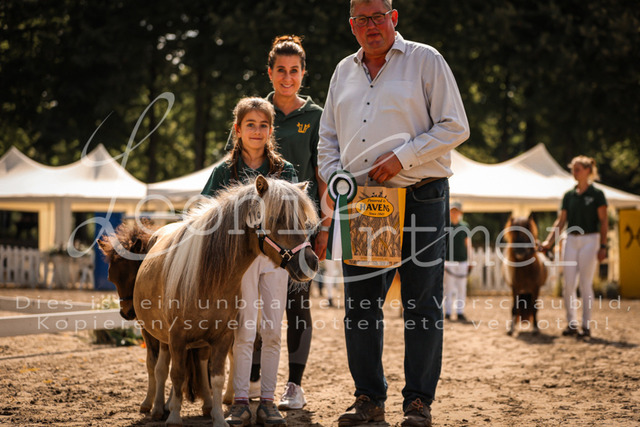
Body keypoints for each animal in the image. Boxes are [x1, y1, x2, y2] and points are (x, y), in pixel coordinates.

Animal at [134, 176, 319, 427]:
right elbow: (177, 374)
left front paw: (219, 418)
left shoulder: (221, 338)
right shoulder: (177, 338)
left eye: (302, 220)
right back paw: (154, 407)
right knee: (159, 368)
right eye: (277, 219)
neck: (206, 281)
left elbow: (217, 378)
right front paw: (173, 417)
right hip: (153, 333)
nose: (311, 262)